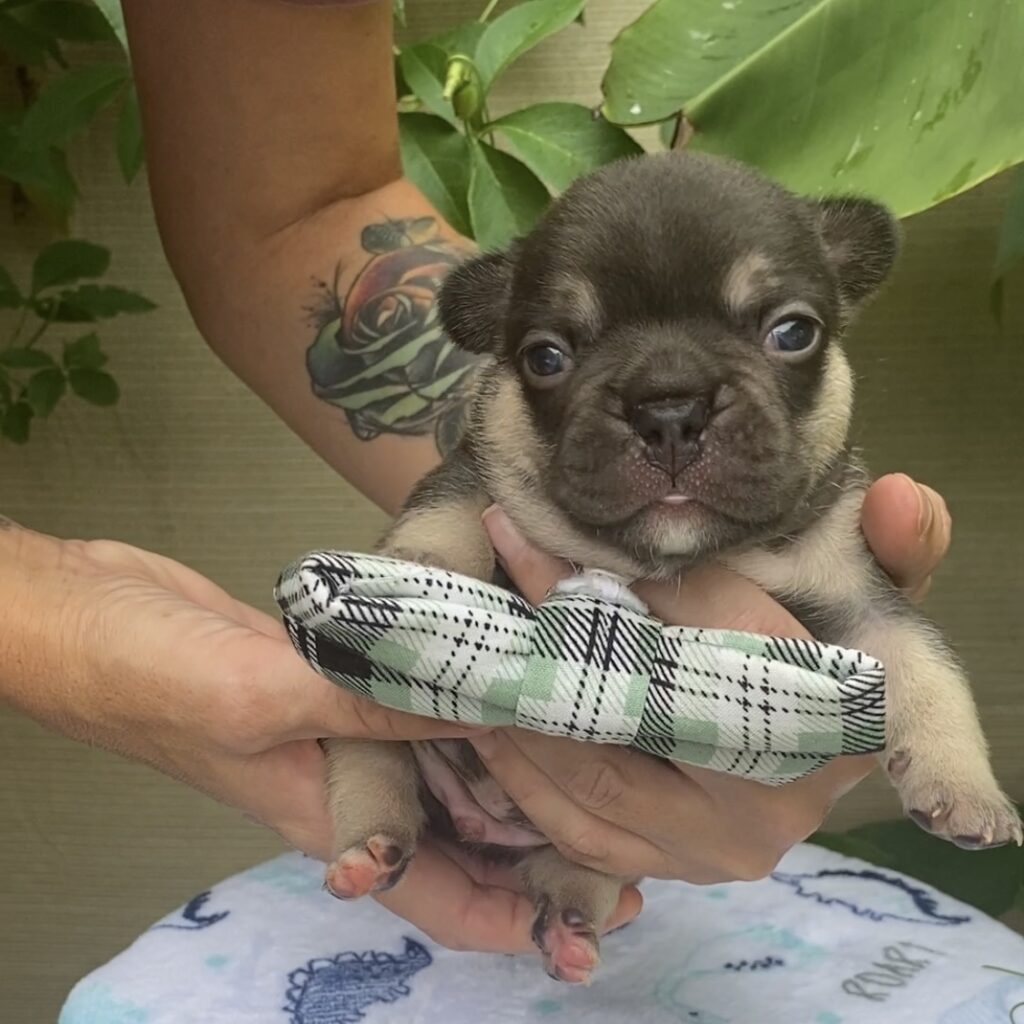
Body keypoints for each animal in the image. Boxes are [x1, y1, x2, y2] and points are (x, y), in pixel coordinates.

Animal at [315, 149, 1019, 983]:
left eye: (792, 332)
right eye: (546, 357)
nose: (670, 405)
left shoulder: (857, 593)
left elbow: (925, 661)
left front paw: (965, 784)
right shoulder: (475, 467)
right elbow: (449, 505)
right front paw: (420, 563)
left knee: (579, 866)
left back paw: (571, 920)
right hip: (376, 744)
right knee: (368, 763)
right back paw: (369, 847)